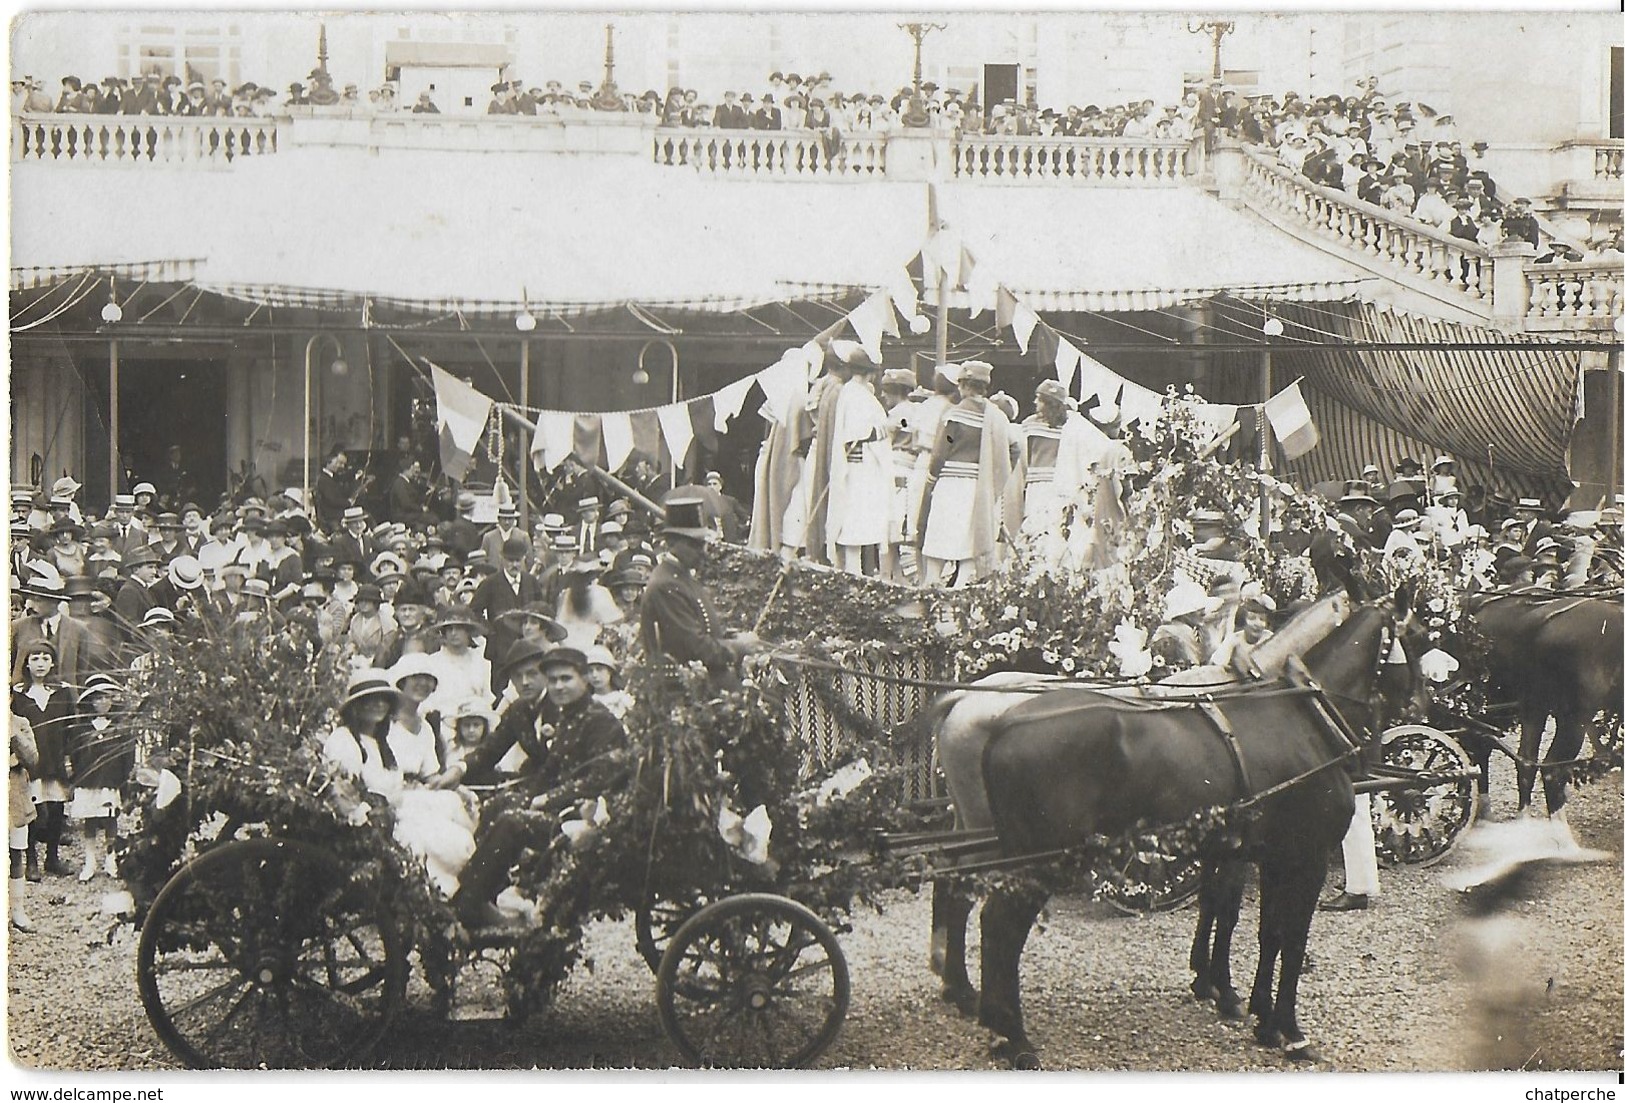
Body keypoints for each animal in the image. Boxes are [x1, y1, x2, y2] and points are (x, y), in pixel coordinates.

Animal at [949, 594, 1404, 1072]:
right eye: (1415, 634)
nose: (1423, 702)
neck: (1300, 715)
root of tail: (999, 725)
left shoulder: (1257, 852)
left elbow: (1255, 926)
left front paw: (1242, 1005)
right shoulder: (1304, 857)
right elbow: (1282, 935)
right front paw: (1284, 1028)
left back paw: (986, 1016)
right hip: (1037, 859)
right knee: (997, 925)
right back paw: (1010, 1034)